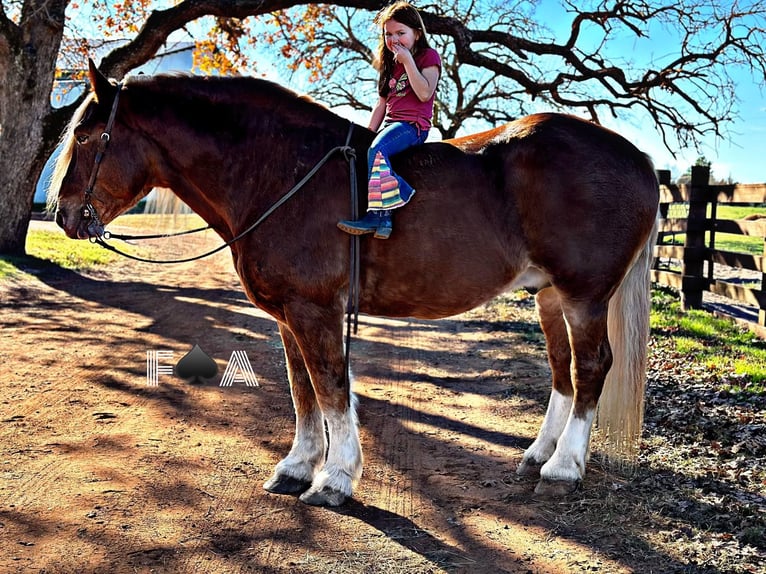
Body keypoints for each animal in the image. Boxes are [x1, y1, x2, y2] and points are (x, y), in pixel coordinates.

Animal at [51, 59, 660, 508]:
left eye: (86, 136)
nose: (62, 215)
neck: (282, 172)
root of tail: (638, 157)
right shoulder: (290, 316)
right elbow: (303, 392)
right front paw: (297, 468)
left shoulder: (315, 310)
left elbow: (330, 389)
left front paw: (335, 479)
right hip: (550, 296)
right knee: (562, 372)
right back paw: (538, 455)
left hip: (584, 296)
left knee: (590, 368)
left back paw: (563, 467)